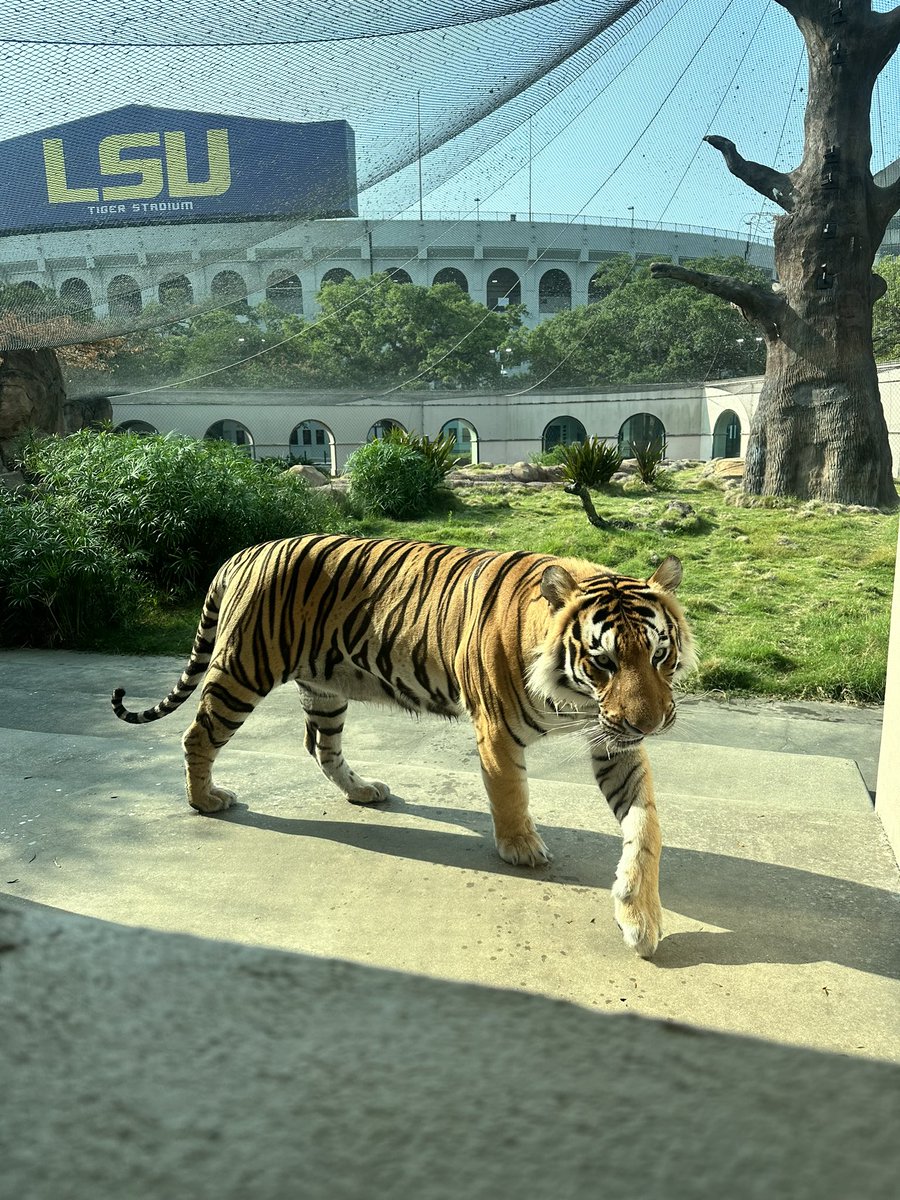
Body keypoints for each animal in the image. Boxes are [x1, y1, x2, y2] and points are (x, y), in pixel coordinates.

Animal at [109, 535, 696, 955]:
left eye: (658, 655)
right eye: (603, 662)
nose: (652, 724)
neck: (575, 698)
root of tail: (243, 553)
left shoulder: (615, 740)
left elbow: (646, 826)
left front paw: (640, 917)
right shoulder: (497, 731)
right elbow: (511, 796)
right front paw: (522, 849)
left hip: (325, 688)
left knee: (322, 748)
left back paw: (364, 790)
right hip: (242, 670)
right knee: (198, 734)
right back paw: (204, 799)